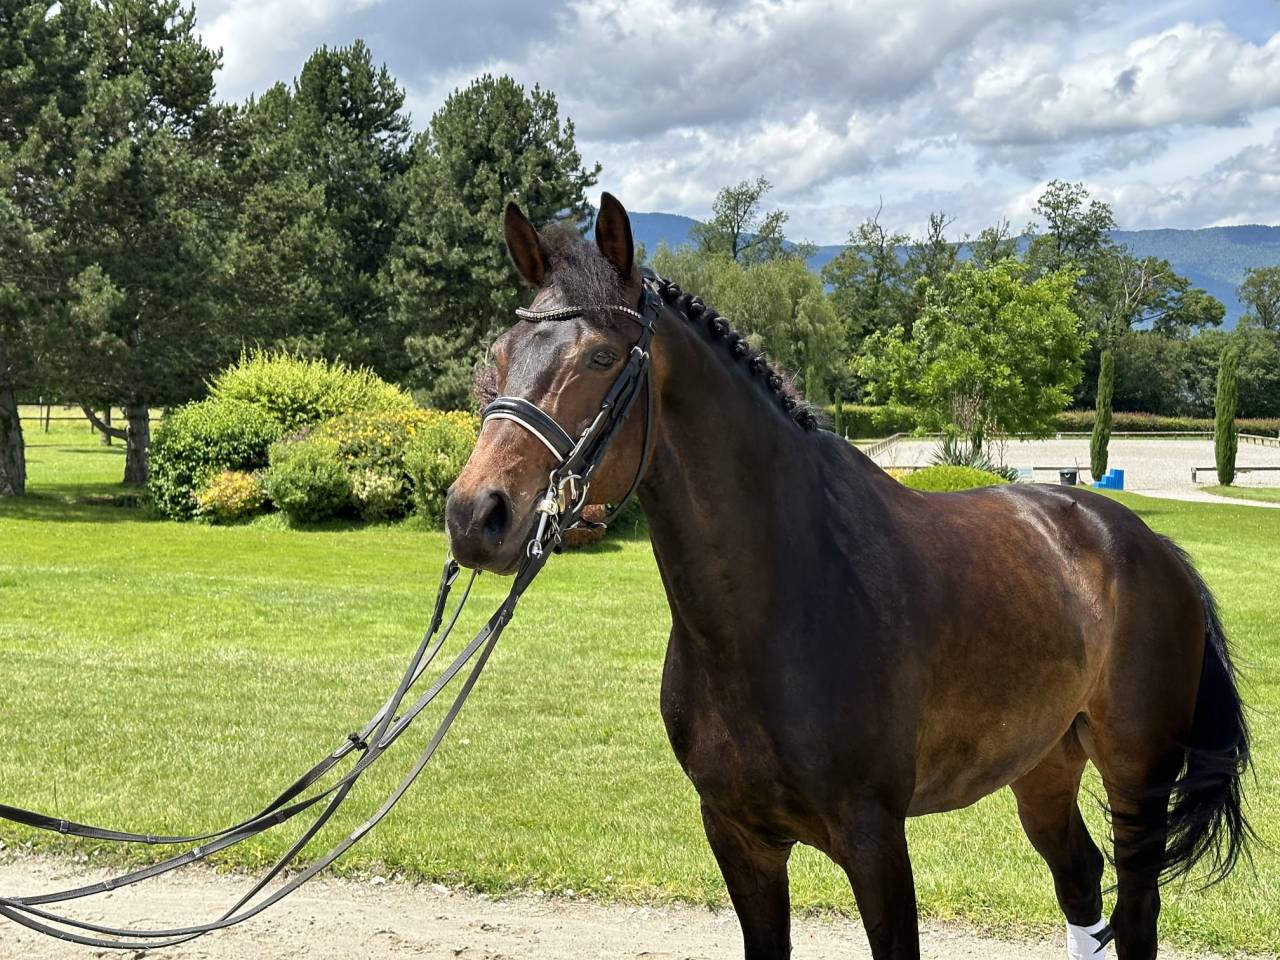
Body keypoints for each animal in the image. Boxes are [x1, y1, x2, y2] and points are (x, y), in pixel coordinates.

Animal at [444, 193, 1252, 960]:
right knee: (1080, 880)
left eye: (602, 357)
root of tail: (1146, 543)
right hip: (1045, 765)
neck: (779, 601)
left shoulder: (874, 840)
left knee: (1136, 914)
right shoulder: (739, 837)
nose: (476, 514)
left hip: (1137, 776)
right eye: (501, 353)